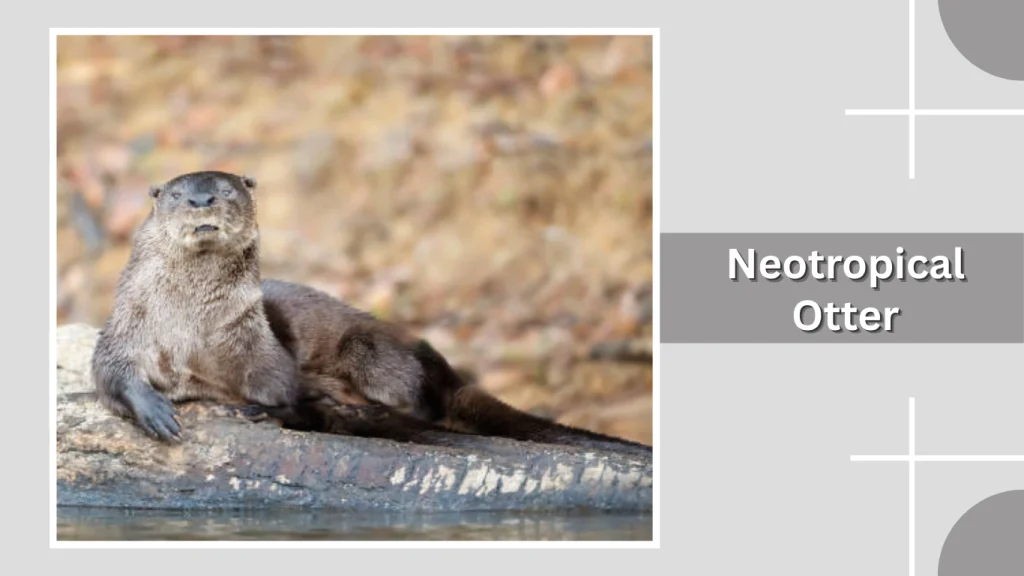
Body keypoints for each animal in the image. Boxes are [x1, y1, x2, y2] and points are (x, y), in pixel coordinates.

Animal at [91, 170, 652, 456]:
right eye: (178, 195)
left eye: (226, 190)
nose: (203, 200)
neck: (190, 327)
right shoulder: (127, 327)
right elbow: (108, 372)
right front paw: (153, 408)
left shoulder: (258, 340)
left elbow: (283, 387)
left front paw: (281, 409)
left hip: (374, 349)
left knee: (418, 403)